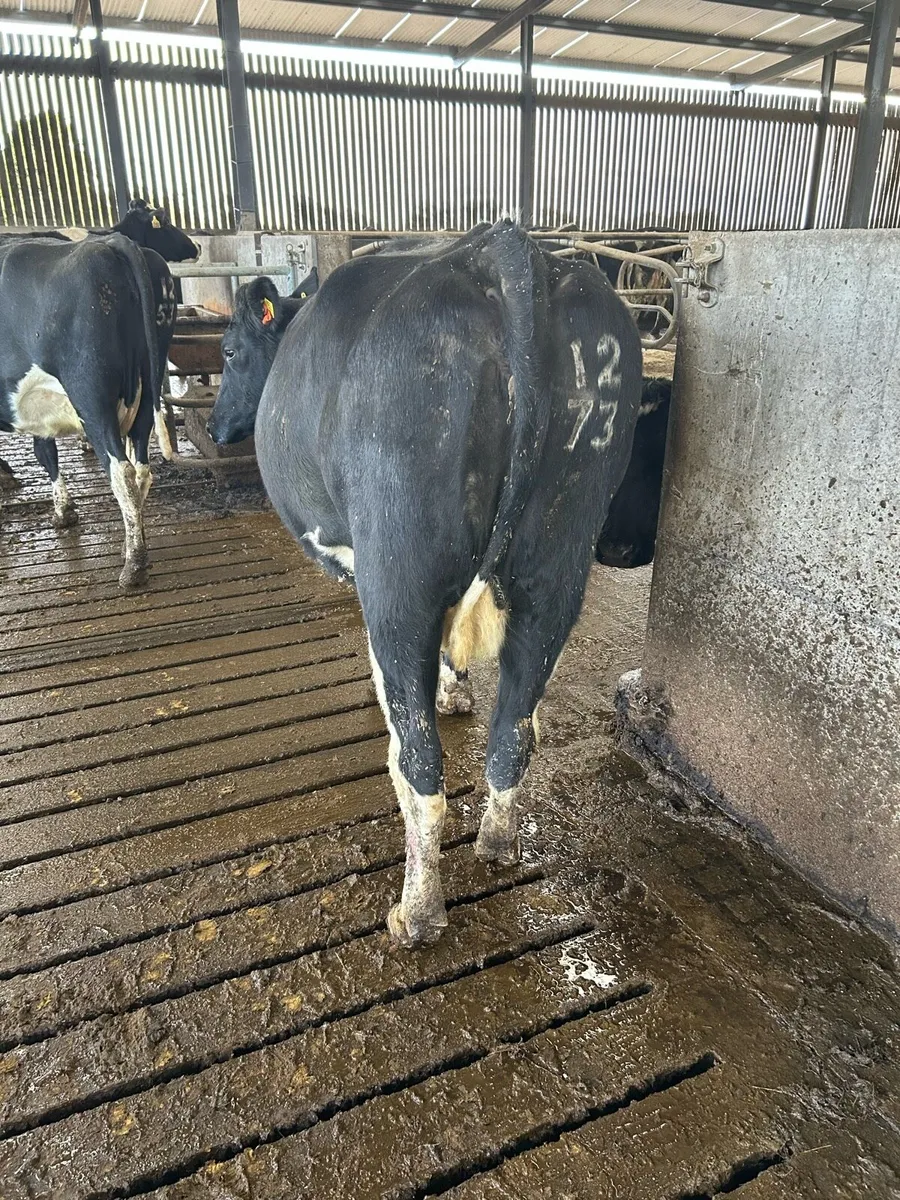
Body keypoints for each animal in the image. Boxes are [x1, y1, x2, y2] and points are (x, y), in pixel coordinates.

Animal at [0, 234, 160, 586]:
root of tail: (109, 242)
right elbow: (45, 451)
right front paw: (64, 508)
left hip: (90, 394)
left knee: (121, 471)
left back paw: (134, 564)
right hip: (144, 394)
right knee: (141, 468)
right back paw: (129, 546)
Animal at [207, 221, 642, 948]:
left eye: (232, 350)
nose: (214, 429)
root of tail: (507, 248)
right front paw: (455, 690)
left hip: (398, 579)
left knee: (420, 767)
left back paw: (416, 913)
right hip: (556, 573)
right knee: (513, 735)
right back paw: (497, 844)